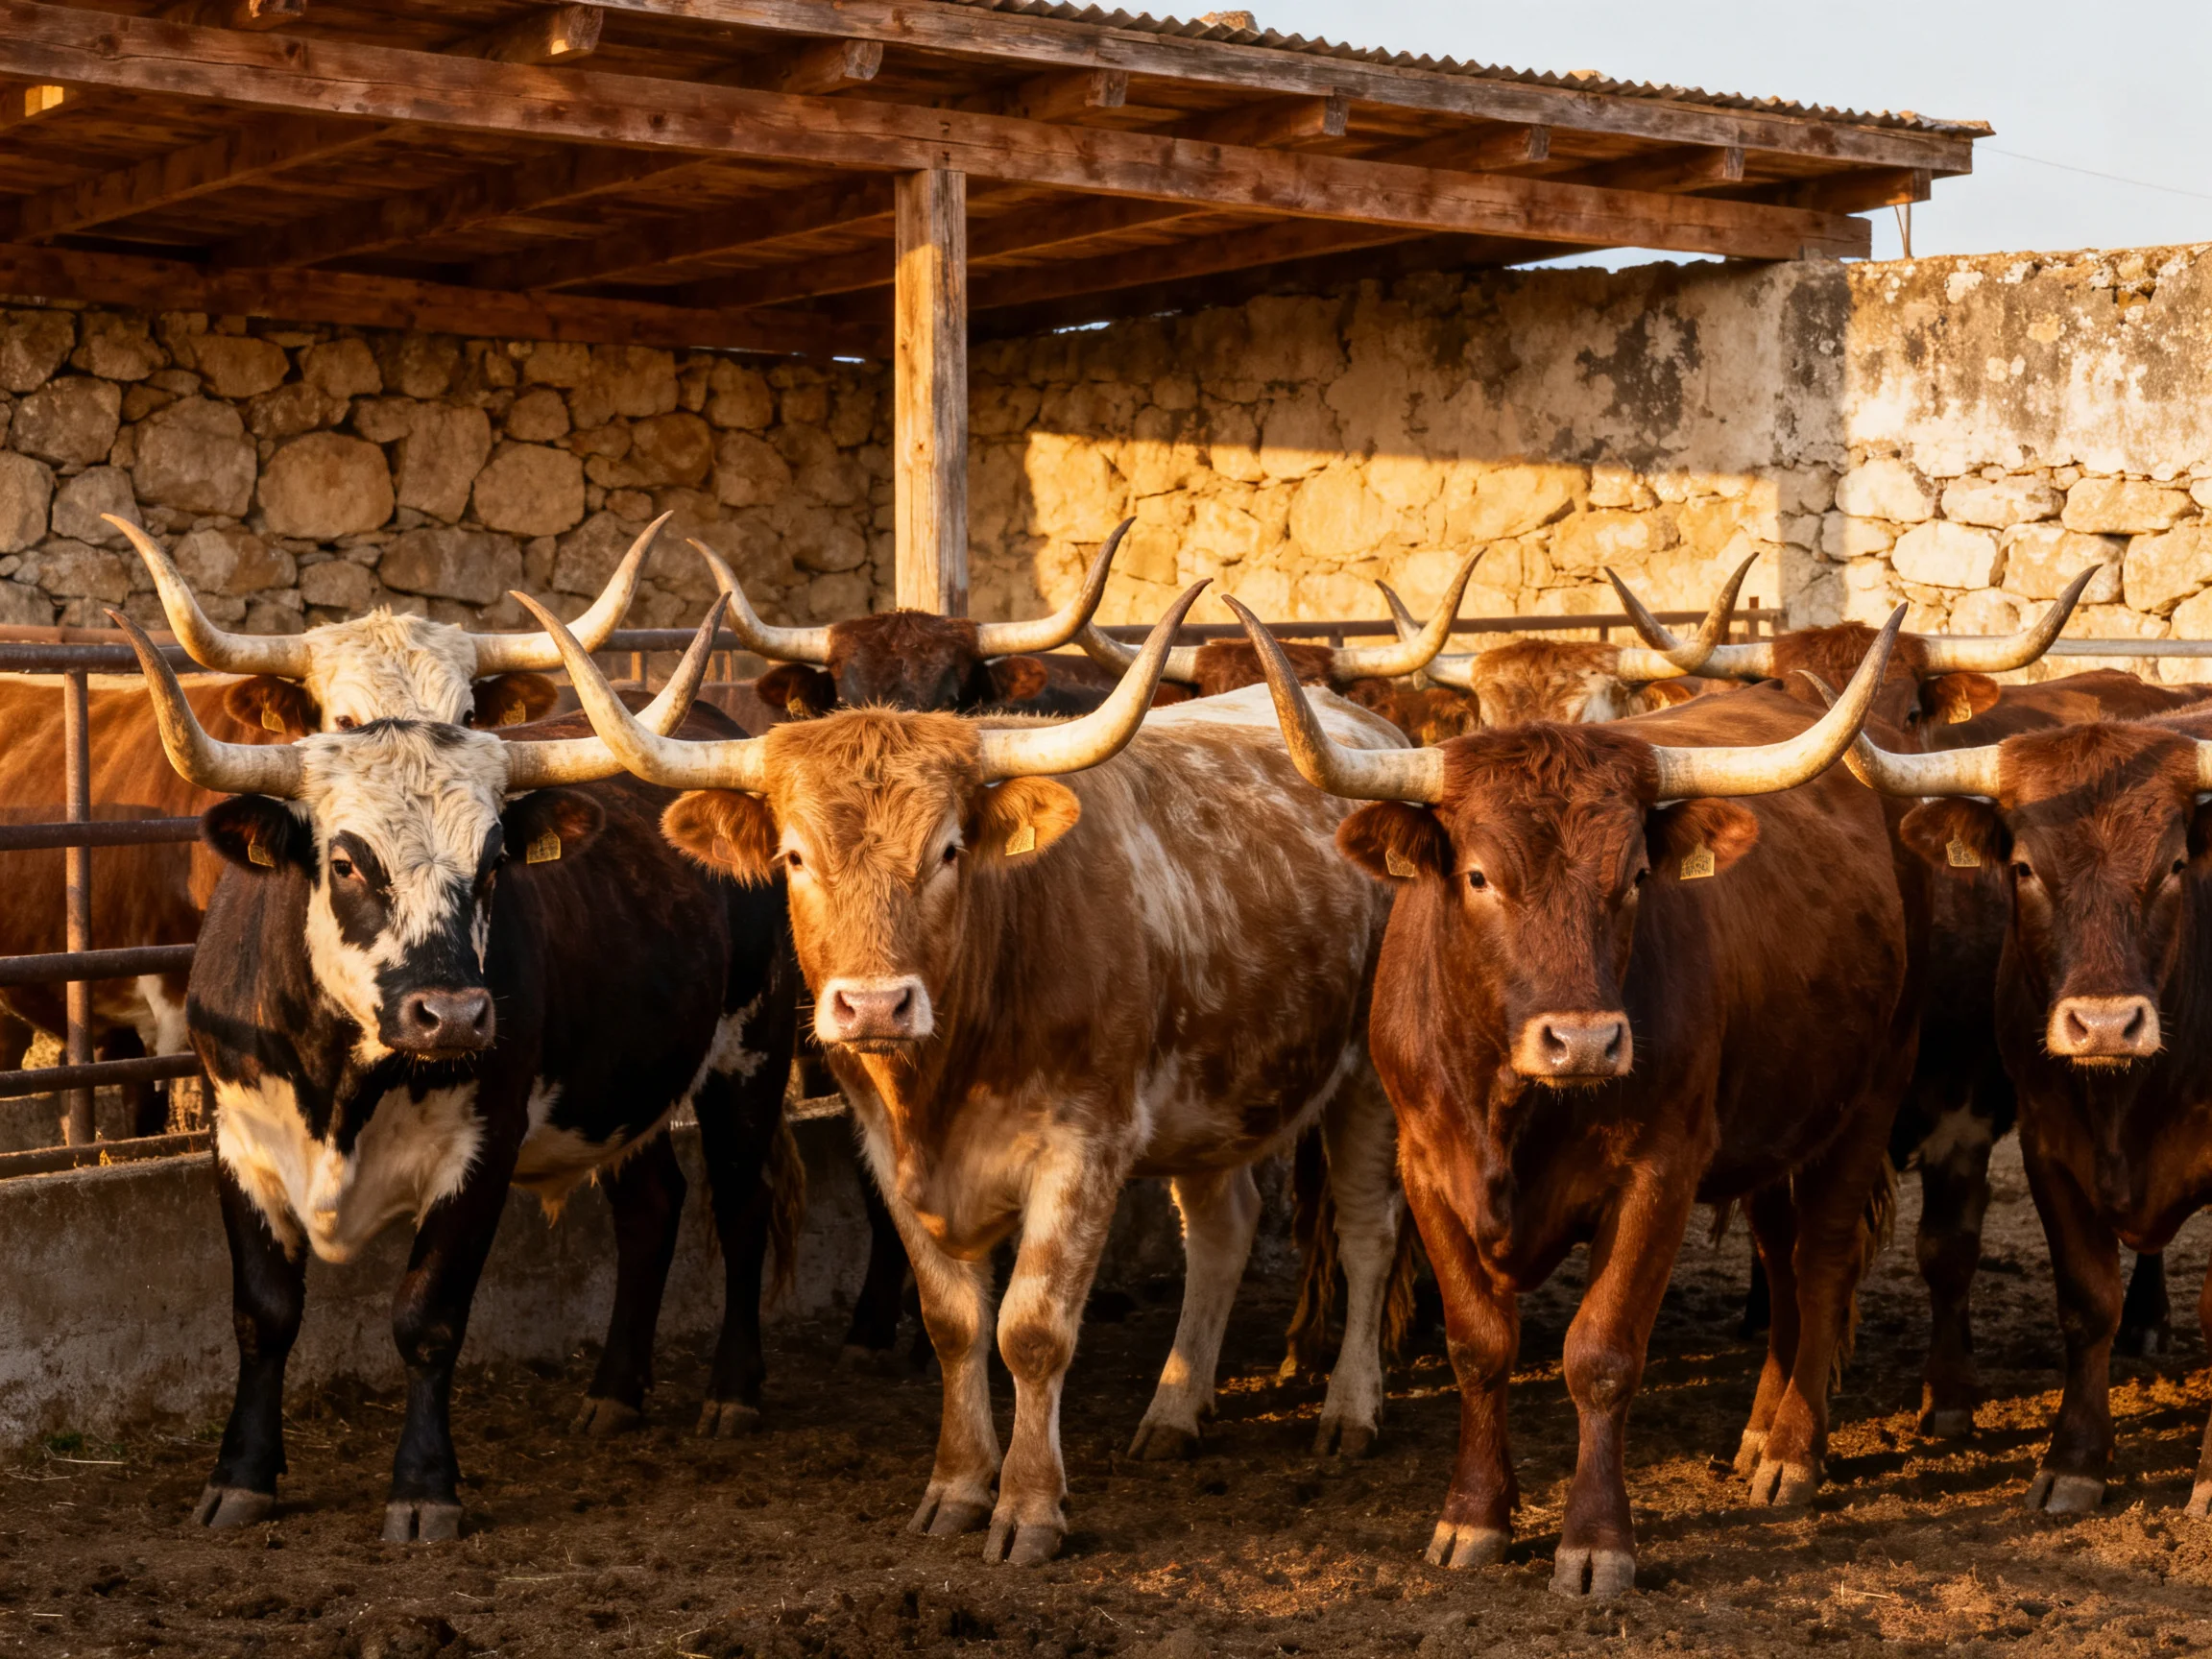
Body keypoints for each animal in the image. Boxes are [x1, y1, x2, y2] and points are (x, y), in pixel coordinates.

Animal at [109, 598, 802, 1539]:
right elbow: (263, 1313)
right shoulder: (239, 1142)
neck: (342, 1082)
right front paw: (240, 1478)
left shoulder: (482, 1148)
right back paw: (614, 1394)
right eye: (346, 862)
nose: (456, 1015)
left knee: (739, 1203)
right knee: (652, 1206)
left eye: (493, 862)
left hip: (750, 1050)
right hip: (621, 1082)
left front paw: (424, 1488)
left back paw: (732, 1393)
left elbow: (428, 1319)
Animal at [525, 582, 1414, 1567]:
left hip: (1369, 1080)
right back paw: (1175, 1411)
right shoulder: (891, 1153)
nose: (875, 1007)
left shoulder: (1084, 1149)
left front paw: (1028, 1508)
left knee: (1368, 1232)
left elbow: (1031, 1329)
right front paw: (955, 1487)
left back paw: (1350, 1410)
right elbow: (955, 1326)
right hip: (1212, 1097)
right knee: (1223, 1235)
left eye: (949, 850)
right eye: (793, 855)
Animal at [1228, 597, 1910, 1597]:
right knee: (1782, 1259)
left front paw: (1595, 1543)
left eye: (1634, 879)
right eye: (1478, 875)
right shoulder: (1425, 1167)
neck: (1514, 1106)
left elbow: (1602, 1354)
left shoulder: (1660, 1172)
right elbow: (1479, 1346)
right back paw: (1757, 1434)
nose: (1584, 1039)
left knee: (1821, 1261)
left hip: (1866, 1101)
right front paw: (1473, 1518)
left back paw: (1792, 1452)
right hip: (1775, 1122)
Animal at [1847, 713, 2212, 1515]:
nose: (2105, 1025)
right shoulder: (2051, 1149)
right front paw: (2074, 1462)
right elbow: (2086, 1302)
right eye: (2023, 868)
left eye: (2175, 866)